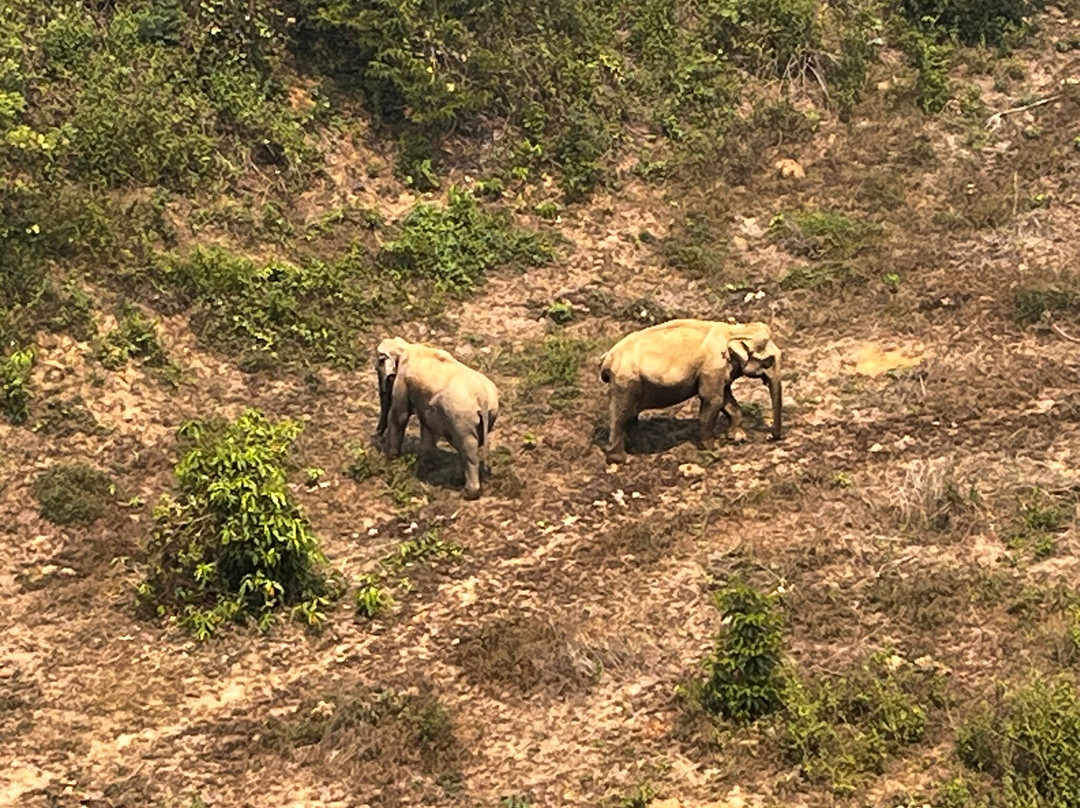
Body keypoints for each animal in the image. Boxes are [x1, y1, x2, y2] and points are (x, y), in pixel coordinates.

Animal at [375, 337, 500, 499]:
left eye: (379, 366)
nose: (376, 436)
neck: (406, 347)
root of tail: (482, 397)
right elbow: (426, 425)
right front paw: (425, 466)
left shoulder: (402, 381)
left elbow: (400, 416)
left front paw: (391, 460)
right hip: (488, 415)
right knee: (470, 445)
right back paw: (457, 480)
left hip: (461, 418)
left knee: (467, 447)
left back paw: (468, 493)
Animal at [598, 319, 782, 464]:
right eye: (769, 361)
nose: (770, 437)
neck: (735, 330)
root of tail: (607, 359)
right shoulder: (713, 366)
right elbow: (713, 399)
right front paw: (711, 448)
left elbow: (726, 400)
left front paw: (738, 438)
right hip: (625, 381)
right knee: (621, 413)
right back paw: (622, 459)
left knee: (630, 415)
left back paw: (640, 448)